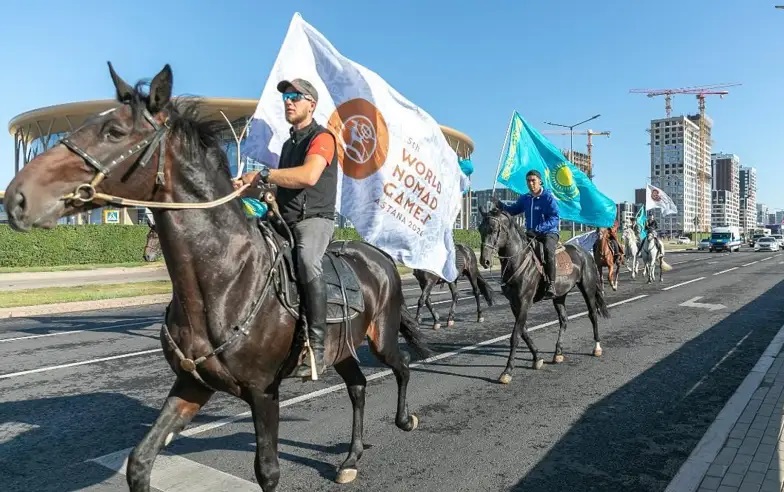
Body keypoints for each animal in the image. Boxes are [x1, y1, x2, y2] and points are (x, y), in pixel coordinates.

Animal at [1, 63, 428, 490]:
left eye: (115, 132)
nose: (17, 197)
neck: (224, 280)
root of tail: (378, 255)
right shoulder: (192, 383)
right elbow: (140, 460)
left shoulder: (263, 392)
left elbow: (267, 471)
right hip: (344, 348)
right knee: (357, 386)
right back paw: (351, 457)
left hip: (380, 336)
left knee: (402, 365)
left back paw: (405, 419)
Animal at [474, 204, 608, 384]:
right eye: (480, 229)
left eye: (495, 229)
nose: (485, 261)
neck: (518, 260)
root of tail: (585, 253)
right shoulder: (514, 304)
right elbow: (523, 331)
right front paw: (537, 358)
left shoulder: (524, 301)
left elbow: (515, 335)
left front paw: (507, 371)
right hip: (559, 296)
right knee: (564, 320)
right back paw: (558, 353)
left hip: (587, 288)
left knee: (592, 314)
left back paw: (597, 347)